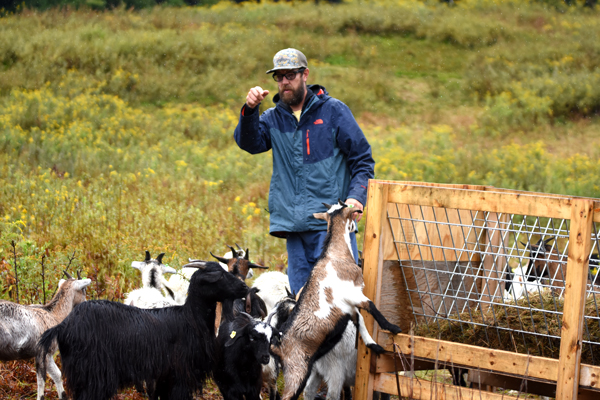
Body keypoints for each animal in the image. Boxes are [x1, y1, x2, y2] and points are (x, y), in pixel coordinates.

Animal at [0, 270, 90, 400]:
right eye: (84, 289)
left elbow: (57, 374)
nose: (86, 305)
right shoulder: (41, 352)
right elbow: (41, 381)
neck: (54, 315)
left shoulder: (48, 354)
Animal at [37, 260, 248, 400]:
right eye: (220, 276)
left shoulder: (164, 377)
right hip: (92, 373)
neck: (191, 319)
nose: (244, 288)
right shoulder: (180, 375)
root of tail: (64, 324)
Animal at [272, 200, 404, 400]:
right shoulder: (353, 293)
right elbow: (371, 307)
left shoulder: (348, 307)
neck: (335, 254)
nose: (355, 228)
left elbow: (360, 320)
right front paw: (392, 327)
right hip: (297, 371)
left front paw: (373, 345)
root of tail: (278, 344)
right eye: (350, 213)